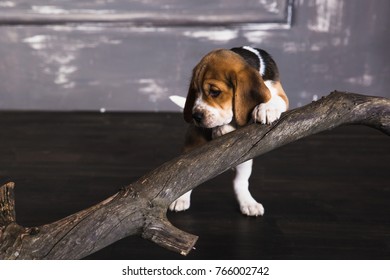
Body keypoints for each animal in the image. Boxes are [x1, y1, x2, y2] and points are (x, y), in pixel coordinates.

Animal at [169, 46, 288, 217]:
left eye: (214, 92)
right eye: (195, 91)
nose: (195, 116)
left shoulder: (280, 94)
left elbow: (274, 99)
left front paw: (266, 109)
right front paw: (222, 129)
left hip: (246, 158)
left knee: (239, 182)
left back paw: (248, 203)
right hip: (191, 147)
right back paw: (180, 199)